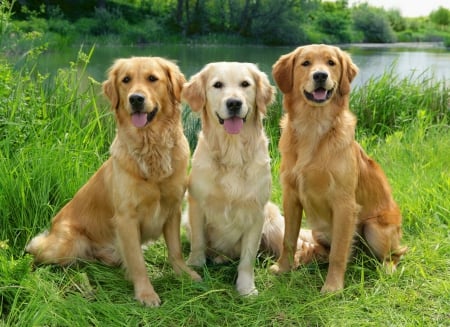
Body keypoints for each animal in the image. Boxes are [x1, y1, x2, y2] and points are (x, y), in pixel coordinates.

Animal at [25, 57, 200, 308]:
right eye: (126, 80)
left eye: (152, 78)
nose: (135, 99)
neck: (151, 149)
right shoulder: (127, 218)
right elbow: (137, 261)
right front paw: (146, 294)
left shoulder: (173, 208)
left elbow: (175, 250)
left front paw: (185, 275)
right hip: (66, 244)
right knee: (37, 251)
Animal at [181, 62, 284, 298]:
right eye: (217, 85)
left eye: (245, 84)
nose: (234, 103)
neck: (233, 152)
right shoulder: (196, 205)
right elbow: (198, 242)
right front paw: (194, 266)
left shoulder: (256, 213)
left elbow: (247, 259)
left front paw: (246, 288)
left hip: (274, 221)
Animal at [270, 44, 408, 294]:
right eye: (305, 63)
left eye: (331, 63)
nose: (320, 76)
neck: (313, 126)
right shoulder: (291, 196)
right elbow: (288, 239)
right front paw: (283, 268)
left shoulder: (344, 204)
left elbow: (339, 251)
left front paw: (332, 287)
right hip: (319, 230)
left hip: (374, 228)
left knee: (393, 255)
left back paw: (387, 268)